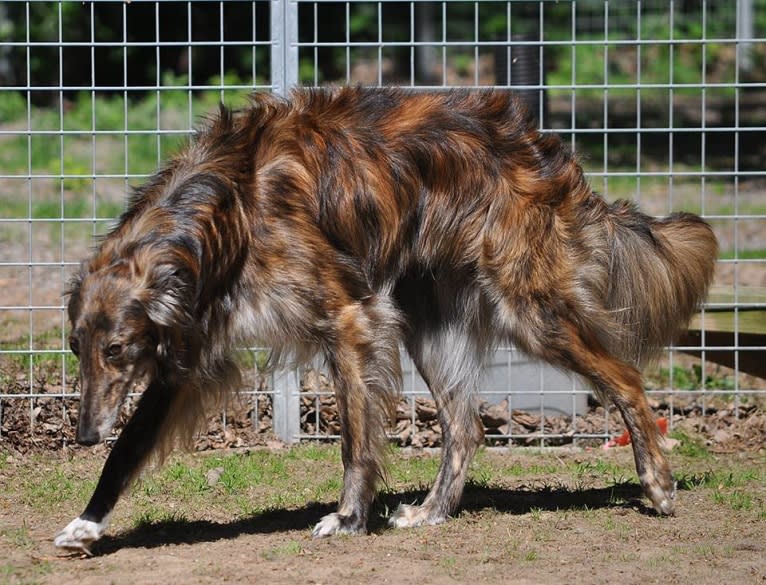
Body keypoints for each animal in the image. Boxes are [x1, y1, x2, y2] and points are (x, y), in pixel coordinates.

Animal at [54, 86, 720, 552]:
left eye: (116, 350)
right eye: (77, 348)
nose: (82, 434)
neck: (230, 209)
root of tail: (546, 150)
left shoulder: (351, 320)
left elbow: (354, 438)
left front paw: (349, 518)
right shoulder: (186, 356)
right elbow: (127, 448)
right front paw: (86, 524)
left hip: (531, 311)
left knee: (626, 379)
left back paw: (657, 486)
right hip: (431, 326)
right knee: (465, 428)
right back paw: (431, 512)